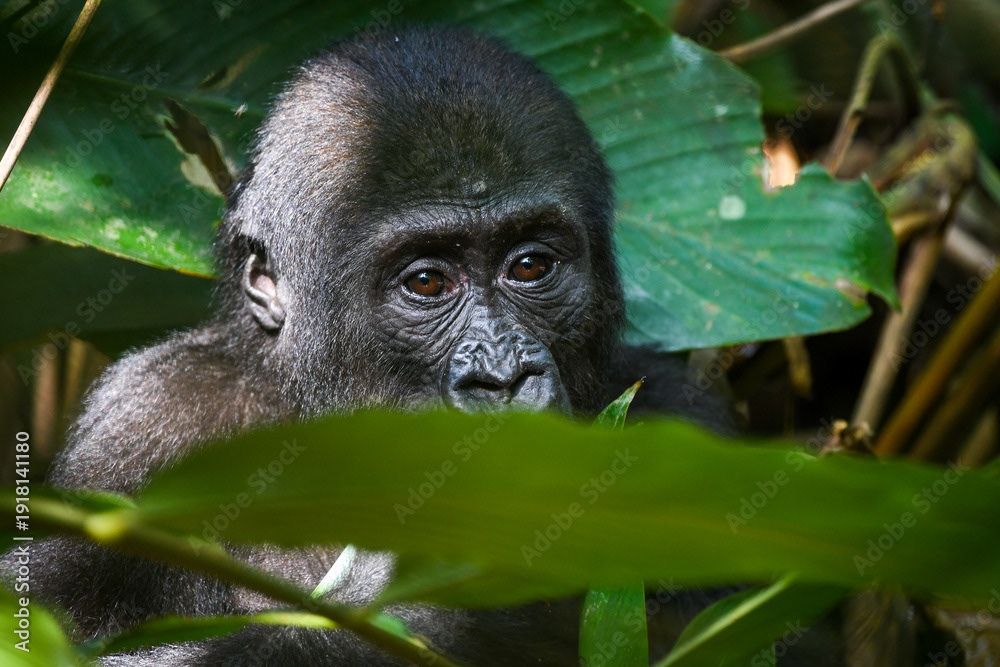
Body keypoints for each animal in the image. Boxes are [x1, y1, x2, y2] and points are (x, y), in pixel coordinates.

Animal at [3, 25, 823, 666]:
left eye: (531, 266)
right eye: (427, 282)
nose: (503, 376)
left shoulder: (681, 413)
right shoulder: (140, 426)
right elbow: (43, 615)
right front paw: (459, 604)